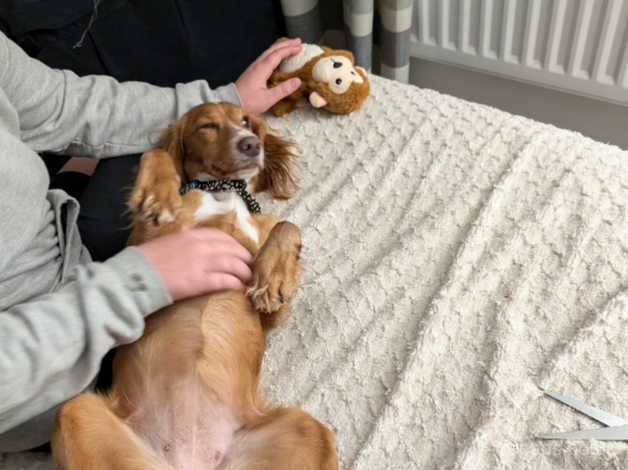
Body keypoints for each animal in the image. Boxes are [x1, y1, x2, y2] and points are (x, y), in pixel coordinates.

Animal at [52, 103, 338, 470]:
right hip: (77, 411)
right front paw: (157, 193)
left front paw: (271, 276)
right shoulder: (147, 242)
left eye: (246, 121)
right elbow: (157, 152)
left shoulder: (271, 316)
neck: (224, 190)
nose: (251, 145)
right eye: (206, 126)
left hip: (310, 430)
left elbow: (287, 225)